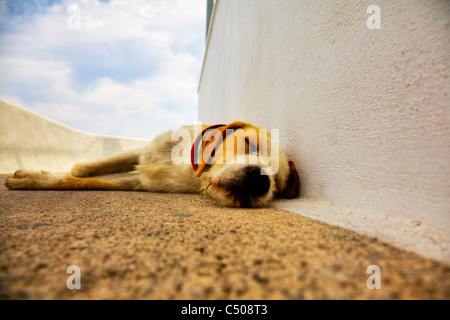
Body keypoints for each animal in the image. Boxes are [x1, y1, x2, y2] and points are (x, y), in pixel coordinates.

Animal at [4, 120, 298, 208]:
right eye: (250, 144)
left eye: (279, 185)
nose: (260, 180)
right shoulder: (144, 151)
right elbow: (94, 167)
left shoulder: (138, 182)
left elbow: (78, 182)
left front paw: (33, 179)